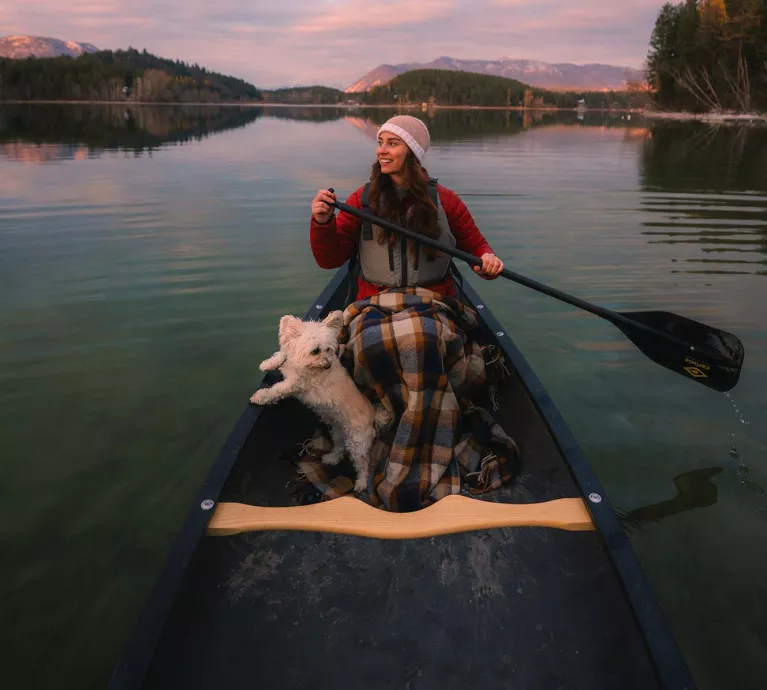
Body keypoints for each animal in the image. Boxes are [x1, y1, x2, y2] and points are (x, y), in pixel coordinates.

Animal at [252, 310, 388, 492]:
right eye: (316, 350)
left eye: (328, 349)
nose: (327, 365)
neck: (303, 364)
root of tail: (373, 415)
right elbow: (282, 354)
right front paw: (268, 364)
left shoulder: (295, 384)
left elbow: (276, 391)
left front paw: (260, 396)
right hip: (338, 431)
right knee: (340, 449)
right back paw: (331, 458)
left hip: (357, 442)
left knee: (363, 463)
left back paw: (361, 484)